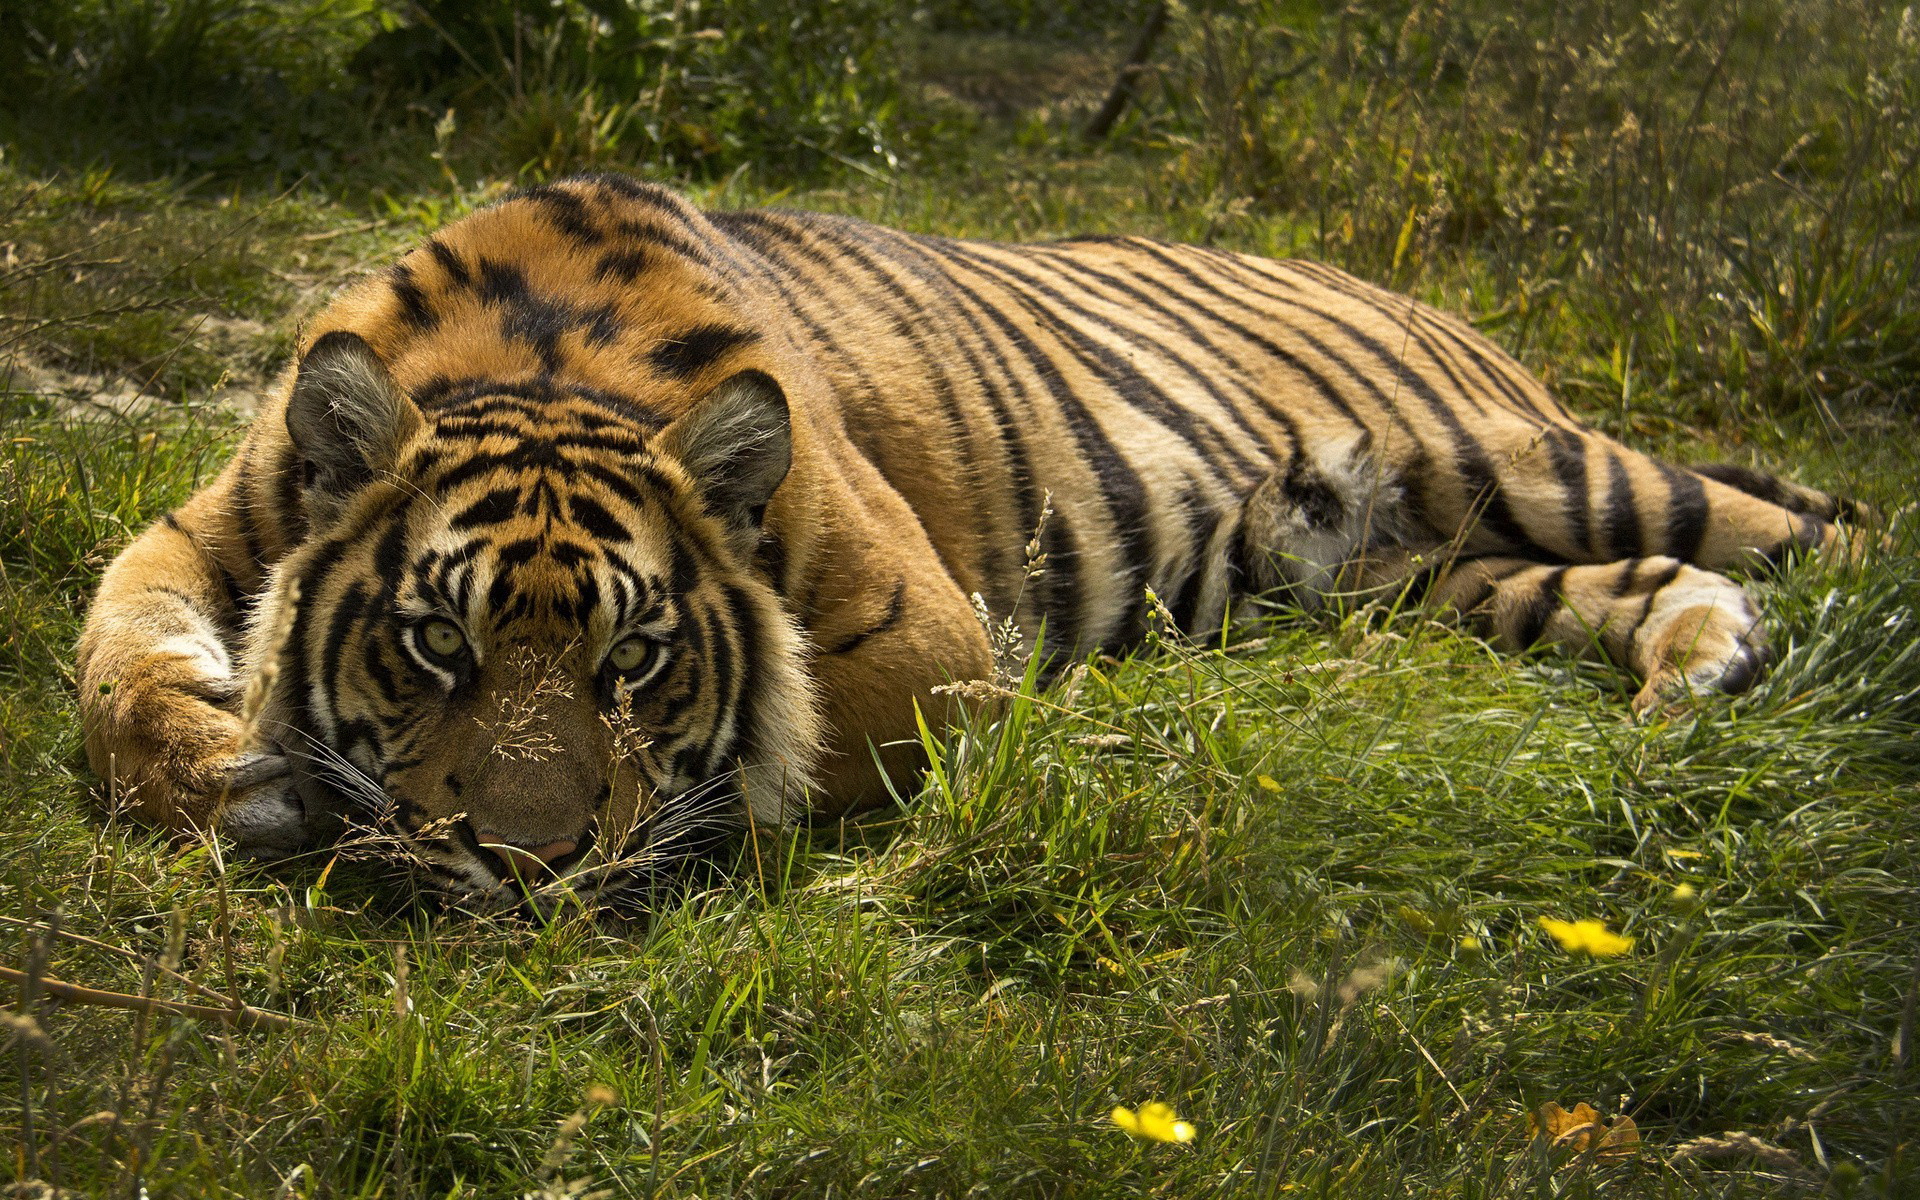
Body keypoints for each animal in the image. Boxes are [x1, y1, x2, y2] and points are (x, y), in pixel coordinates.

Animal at [74, 172, 1858, 902]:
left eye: (634, 660)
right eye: (434, 642)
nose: (529, 865)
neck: (536, 359)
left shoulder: (924, 642)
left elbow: (780, 740)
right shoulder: (198, 521)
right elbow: (113, 657)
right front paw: (233, 774)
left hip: (1529, 456)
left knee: (1814, 522)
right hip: (1433, 573)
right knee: (1640, 582)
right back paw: (1691, 680)